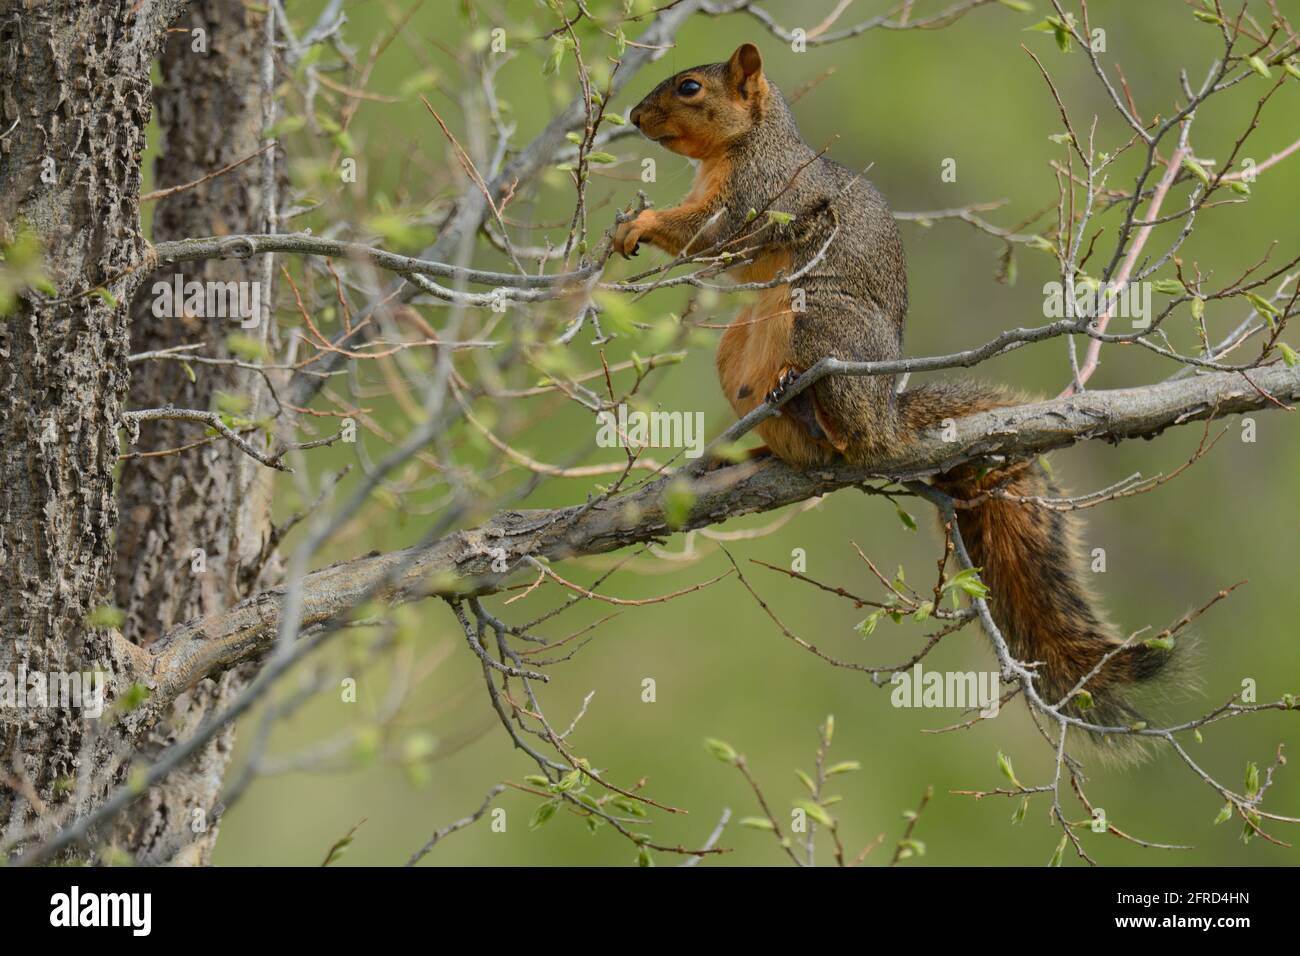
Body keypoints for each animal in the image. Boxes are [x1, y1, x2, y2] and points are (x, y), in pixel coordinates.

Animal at [616, 44, 1180, 749]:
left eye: (690, 87)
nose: (634, 116)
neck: (745, 144)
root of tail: (886, 418)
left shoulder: (763, 195)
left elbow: (714, 237)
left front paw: (641, 221)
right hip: (737, 352)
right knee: (807, 449)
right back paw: (761, 450)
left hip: (824, 323)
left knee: (843, 433)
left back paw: (803, 406)